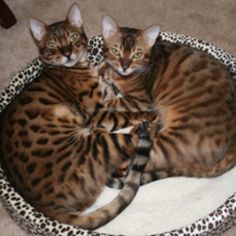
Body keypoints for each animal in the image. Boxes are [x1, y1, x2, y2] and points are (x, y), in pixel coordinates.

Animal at [0, 4, 151, 229]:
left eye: (72, 36)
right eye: (52, 43)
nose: (67, 53)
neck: (78, 67)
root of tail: (47, 208)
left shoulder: (106, 95)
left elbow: (108, 75)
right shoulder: (97, 111)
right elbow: (126, 113)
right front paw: (146, 112)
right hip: (102, 141)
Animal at [100, 15, 236, 185]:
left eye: (137, 54)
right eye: (115, 50)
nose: (125, 67)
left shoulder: (140, 100)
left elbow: (112, 101)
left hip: (173, 139)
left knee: (133, 164)